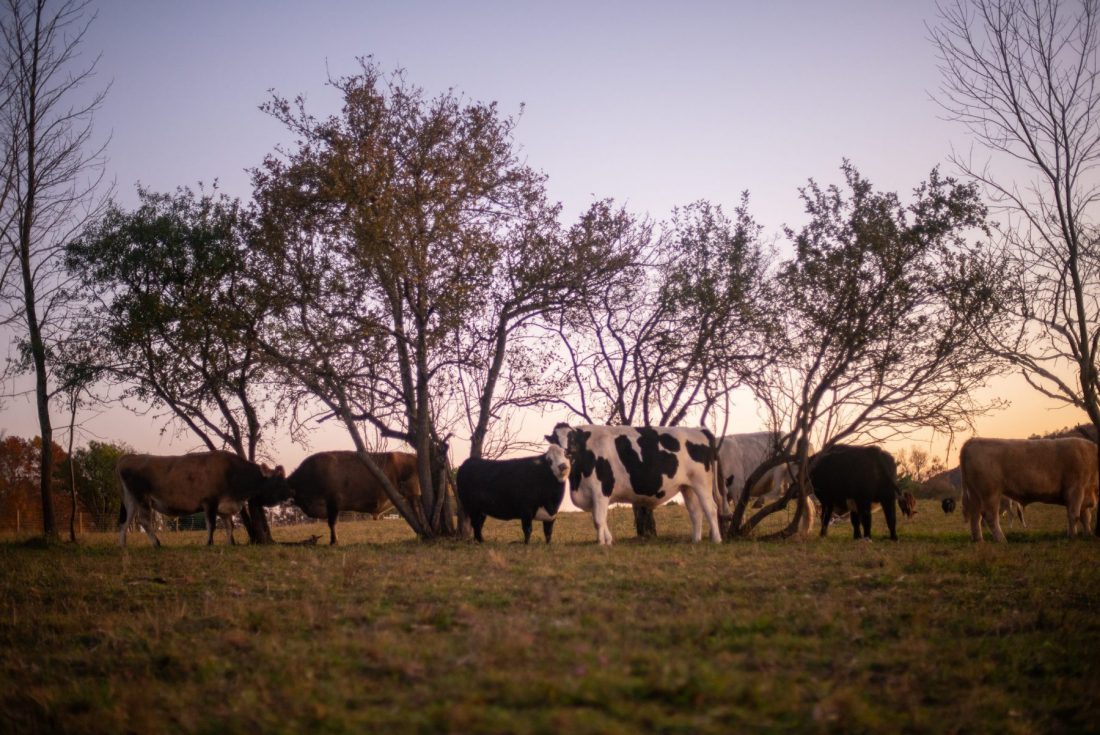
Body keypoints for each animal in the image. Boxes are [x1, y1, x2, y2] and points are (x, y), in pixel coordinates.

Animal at [117, 448, 290, 545]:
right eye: (278, 481)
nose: (289, 494)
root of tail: (129, 457)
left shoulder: (224, 507)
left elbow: (229, 526)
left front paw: (231, 543)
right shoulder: (210, 502)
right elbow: (211, 525)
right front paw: (209, 543)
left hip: (131, 500)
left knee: (125, 522)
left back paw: (122, 545)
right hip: (142, 498)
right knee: (144, 521)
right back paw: (157, 543)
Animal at [286, 448, 422, 545]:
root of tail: (413, 456)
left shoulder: (333, 502)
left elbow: (332, 523)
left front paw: (334, 542)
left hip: (413, 494)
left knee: (417, 513)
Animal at [959, 433, 1095, 543]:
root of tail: (974, 440)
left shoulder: (1084, 494)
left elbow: (1085, 517)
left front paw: (1088, 534)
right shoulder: (1076, 490)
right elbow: (1074, 515)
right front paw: (1072, 537)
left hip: (975, 493)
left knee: (975, 515)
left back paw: (979, 540)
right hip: (990, 492)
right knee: (989, 515)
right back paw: (1002, 540)